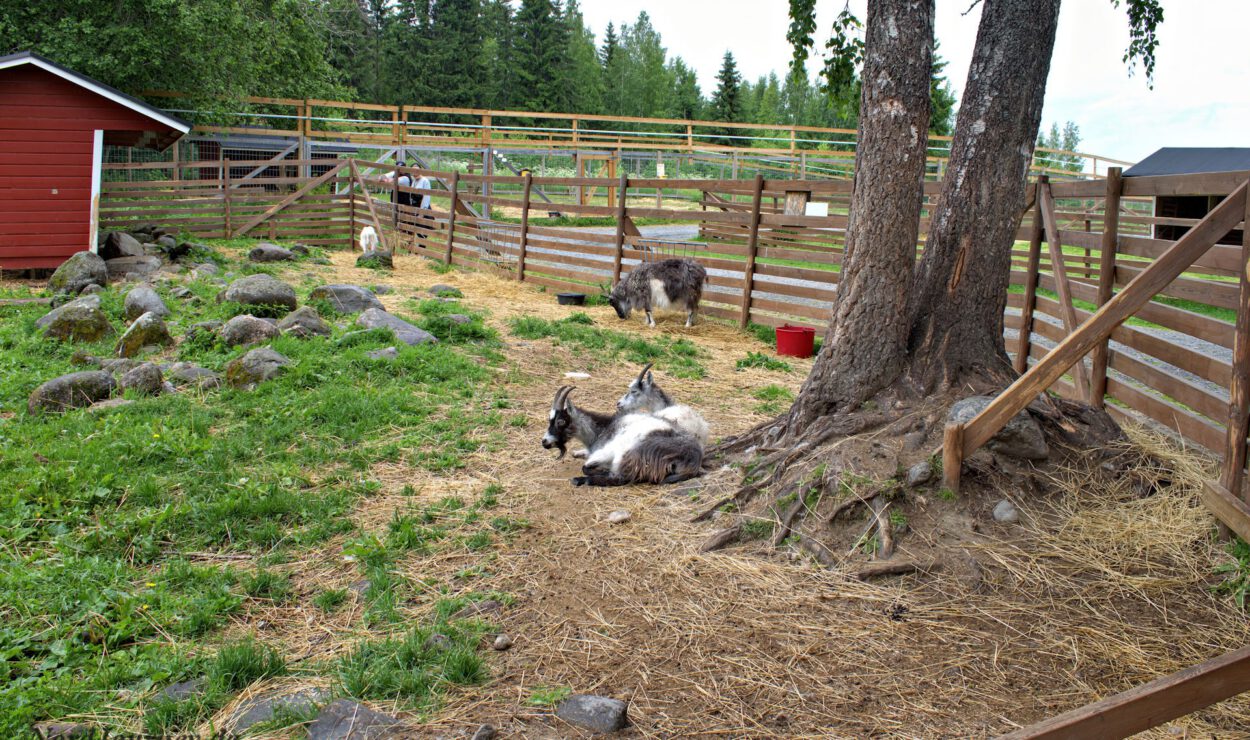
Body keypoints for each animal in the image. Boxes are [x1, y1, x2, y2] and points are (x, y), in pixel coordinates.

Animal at [542, 387, 710, 485]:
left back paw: (581, 480)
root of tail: (693, 458)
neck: (603, 429)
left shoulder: (604, 451)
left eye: (561, 421)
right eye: (550, 420)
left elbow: (586, 467)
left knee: (621, 477)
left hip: (627, 453)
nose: (544, 442)